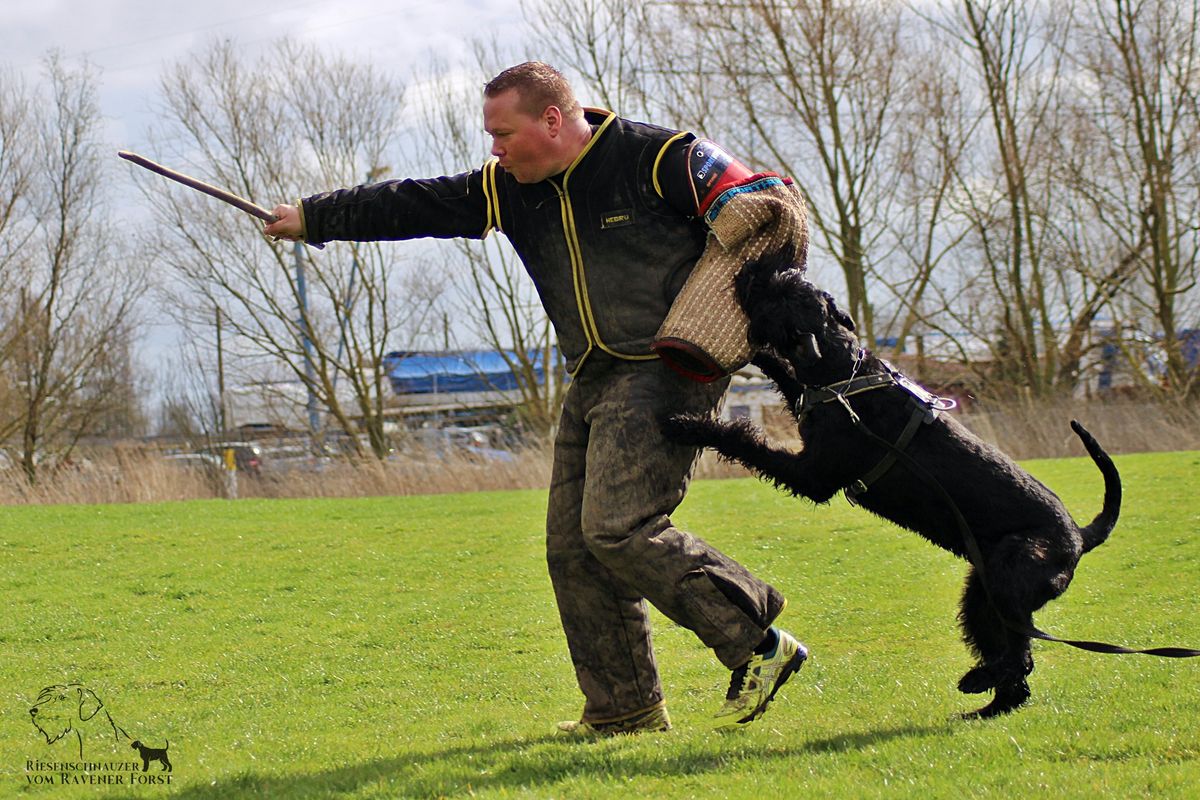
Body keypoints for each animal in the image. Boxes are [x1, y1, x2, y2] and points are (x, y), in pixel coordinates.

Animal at [667, 247, 1123, 714]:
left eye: (781, 291)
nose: (753, 266)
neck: (842, 372)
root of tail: (1079, 536)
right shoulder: (805, 405)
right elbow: (784, 373)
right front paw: (759, 357)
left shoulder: (813, 475)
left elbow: (745, 438)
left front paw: (689, 426)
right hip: (980, 595)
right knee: (1012, 657)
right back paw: (988, 704)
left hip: (1005, 590)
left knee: (1019, 656)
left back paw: (978, 681)